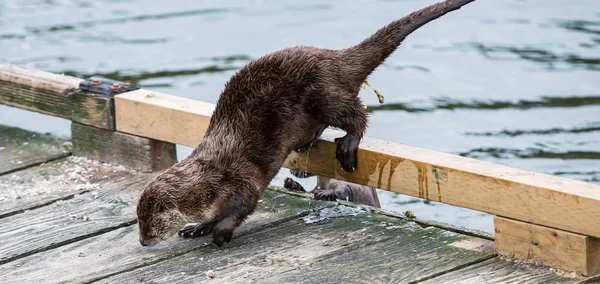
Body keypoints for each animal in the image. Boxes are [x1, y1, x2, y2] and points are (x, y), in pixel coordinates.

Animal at [138, 0, 476, 247]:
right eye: (140, 220)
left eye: (149, 221)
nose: (142, 241)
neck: (208, 184)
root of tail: (335, 57)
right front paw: (197, 227)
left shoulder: (239, 181)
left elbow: (243, 206)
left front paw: (220, 233)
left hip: (322, 92)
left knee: (356, 114)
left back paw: (348, 146)